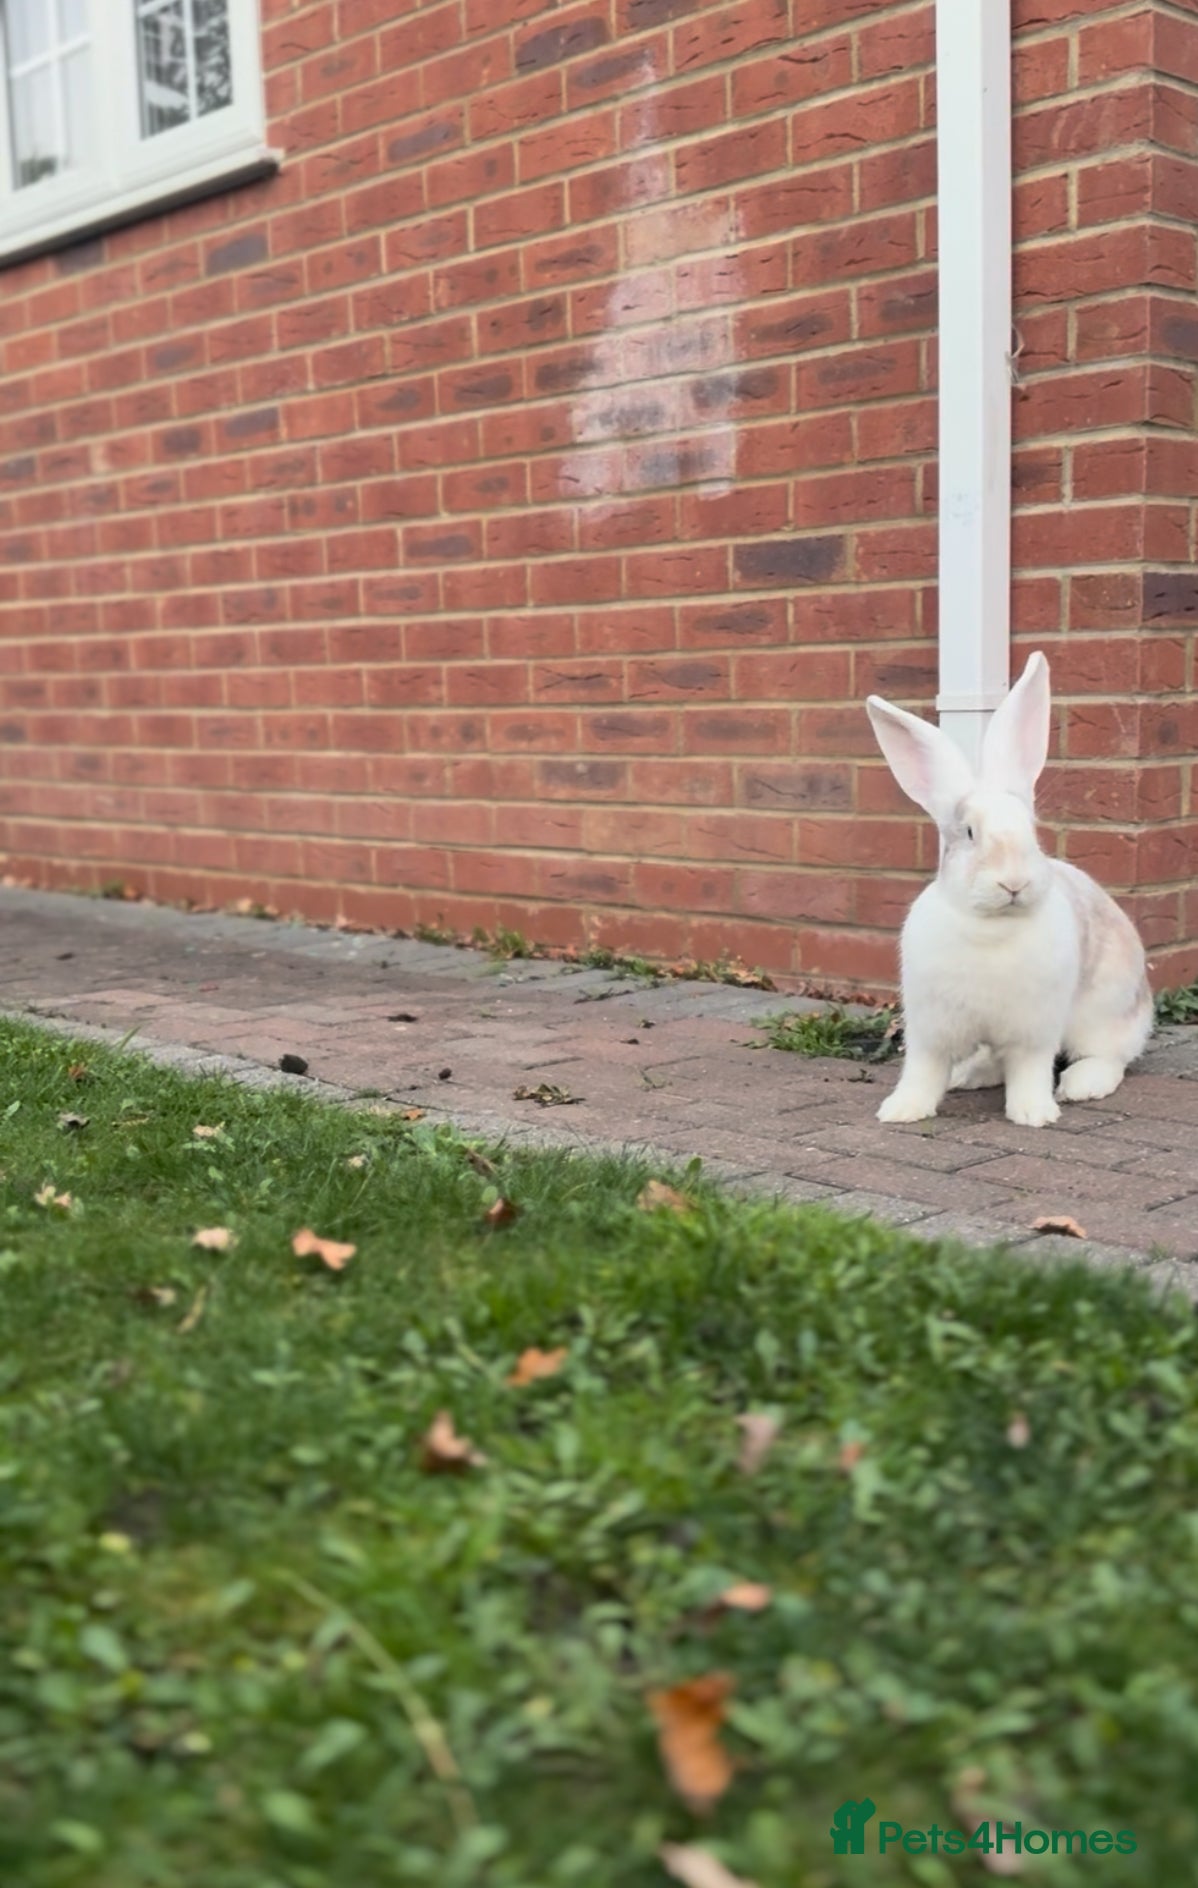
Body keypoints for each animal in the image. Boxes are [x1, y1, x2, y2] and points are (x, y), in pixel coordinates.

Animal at [865, 650, 1152, 1129]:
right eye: (968, 833)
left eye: (1031, 832)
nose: (1013, 882)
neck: (991, 925)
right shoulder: (931, 1027)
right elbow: (922, 1071)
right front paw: (901, 1110)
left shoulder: (1034, 1031)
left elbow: (1030, 1070)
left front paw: (1034, 1113)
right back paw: (968, 1076)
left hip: (1104, 1011)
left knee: (1110, 1057)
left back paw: (1081, 1085)